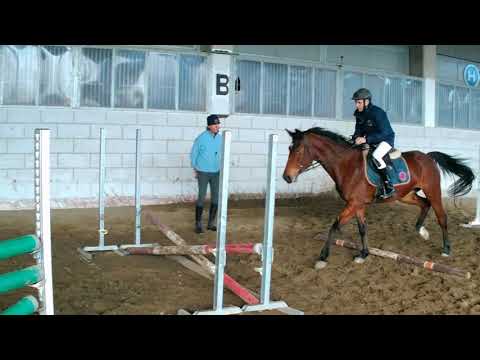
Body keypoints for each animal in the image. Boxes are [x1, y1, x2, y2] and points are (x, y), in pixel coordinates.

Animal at [284, 128, 474, 268]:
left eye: (299, 150)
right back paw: (421, 230)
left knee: (441, 216)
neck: (347, 165)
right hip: (406, 195)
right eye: (289, 149)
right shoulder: (358, 204)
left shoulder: (353, 203)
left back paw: (446, 249)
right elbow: (362, 228)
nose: (286, 177)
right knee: (424, 204)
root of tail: (428, 157)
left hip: (433, 191)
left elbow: (335, 225)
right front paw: (363, 254)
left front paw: (322, 258)